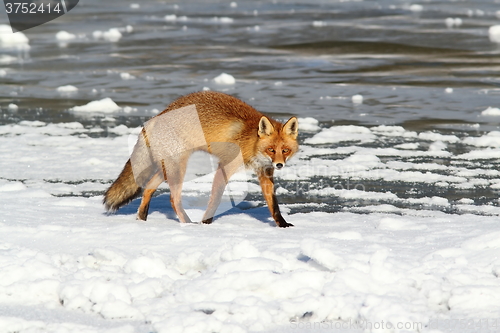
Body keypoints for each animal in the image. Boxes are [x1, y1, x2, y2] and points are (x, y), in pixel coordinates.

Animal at [101, 89, 296, 227]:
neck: (251, 141)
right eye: (271, 149)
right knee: (173, 199)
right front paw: (205, 223)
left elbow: (274, 206)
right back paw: (188, 224)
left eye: (285, 150)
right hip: (178, 168)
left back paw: (142, 218)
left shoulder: (265, 172)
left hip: (167, 169)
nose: (279, 165)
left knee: (148, 188)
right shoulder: (225, 165)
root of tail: (156, 116)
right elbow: (215, 199)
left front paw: (282, 225)